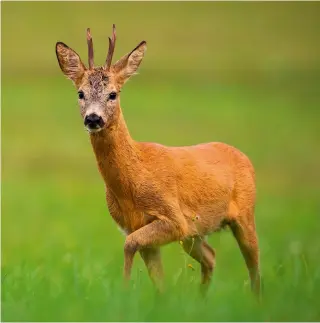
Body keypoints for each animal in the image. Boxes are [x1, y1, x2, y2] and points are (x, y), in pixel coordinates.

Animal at [55, 26, 260, 296]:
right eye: (80, 93)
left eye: (113, 94)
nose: (93, 118)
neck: (132, 182)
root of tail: (243, 155)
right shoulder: (138, 226)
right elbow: (157, 279)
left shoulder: (174, 218)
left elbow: (129, 245)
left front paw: (123, 290)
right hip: (194, 234)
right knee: (211, 256)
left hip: (245, 214)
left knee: (254, 265)